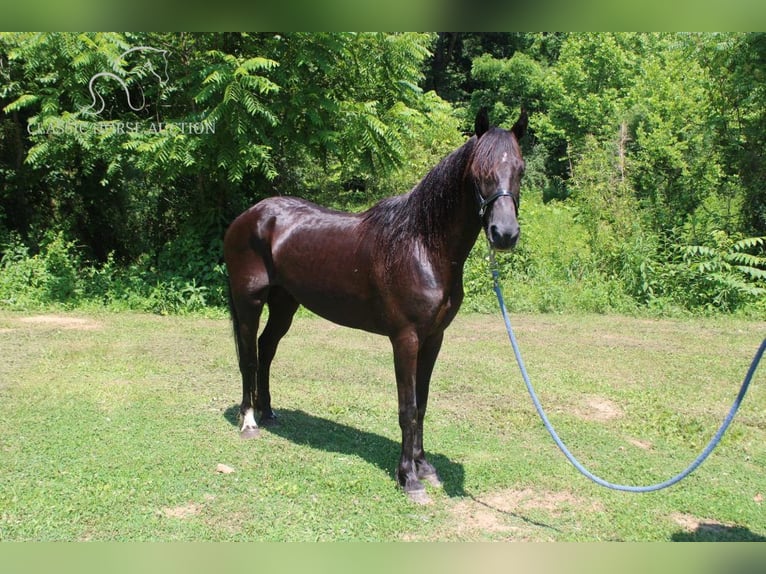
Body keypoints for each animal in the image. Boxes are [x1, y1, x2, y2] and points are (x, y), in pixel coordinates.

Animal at [224, 109, 528, 504]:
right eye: (480, 171)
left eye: (520, 168)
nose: (504, 234)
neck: (420, 245)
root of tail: (247, 217)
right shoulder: (405, 339)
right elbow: (407, 407)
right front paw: (409, 479)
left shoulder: (434, 338)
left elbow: (423, 402)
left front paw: (424, 467)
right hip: (249, 300)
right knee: (248, 354)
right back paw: (249, 422)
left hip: (285, 303)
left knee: (266, 349)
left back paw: (269, 412)